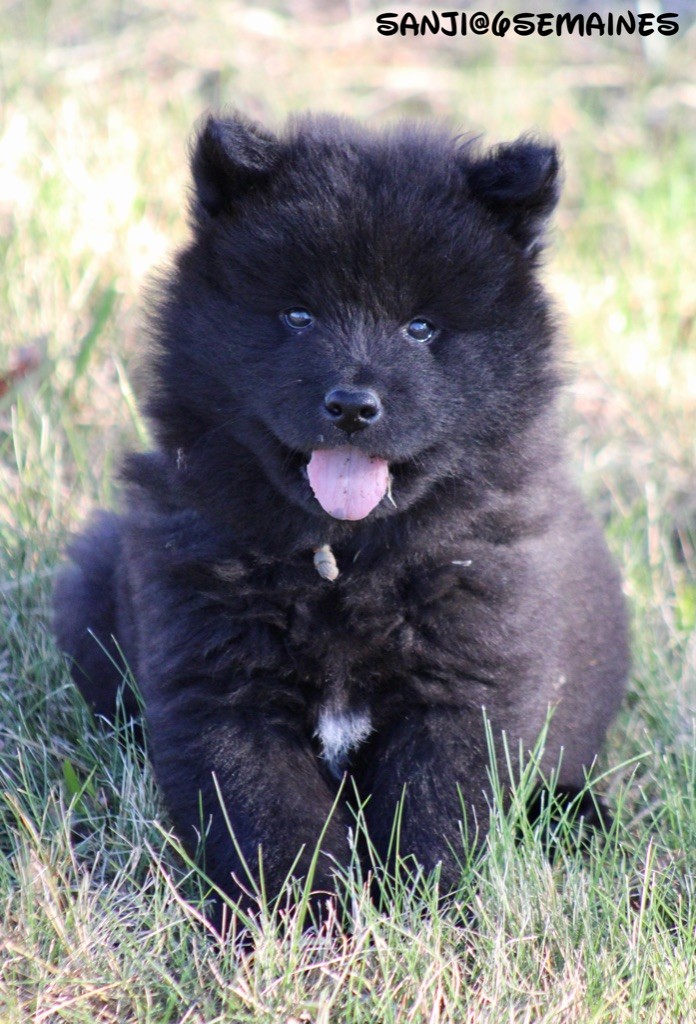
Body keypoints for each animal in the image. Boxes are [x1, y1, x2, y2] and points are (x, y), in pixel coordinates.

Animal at [54, 111, 630, 933]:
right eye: (298, 316)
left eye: (421, 327)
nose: (353, 405)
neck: (344, 561)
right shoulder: (223, 687)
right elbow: (269, 815)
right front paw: (305, 923)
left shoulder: (460, 692)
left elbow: (435, 815)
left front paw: (420, 921)